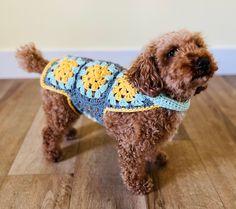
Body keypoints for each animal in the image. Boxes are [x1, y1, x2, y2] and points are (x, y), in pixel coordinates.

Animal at [15, 29, 218, 194]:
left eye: (198, 45)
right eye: (172, 52)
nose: (203, 61)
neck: (156, 96)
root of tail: (47, 63)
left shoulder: (152, 135)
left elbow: (152, 148)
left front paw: (156, 158)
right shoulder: (130, 143)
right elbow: (132, 168)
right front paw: (139, 185)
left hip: (69, 107)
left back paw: (69, 133)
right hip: (59, 108)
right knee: (48, 131)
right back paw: (52, 154)